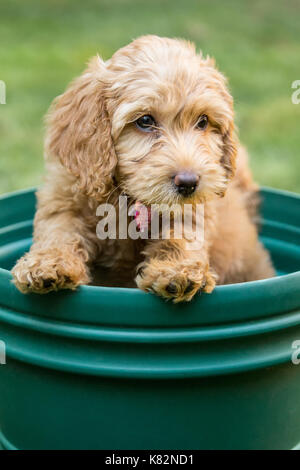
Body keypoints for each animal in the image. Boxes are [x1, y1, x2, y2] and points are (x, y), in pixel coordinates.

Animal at [11, 35, 274, 302]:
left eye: (203, 121)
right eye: (145, 121)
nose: (188, 183)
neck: (127, 196)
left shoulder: (194, 209)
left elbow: (181, 235)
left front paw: (177, 270)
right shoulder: (65, 194)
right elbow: (58, 229)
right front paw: (48, 265)